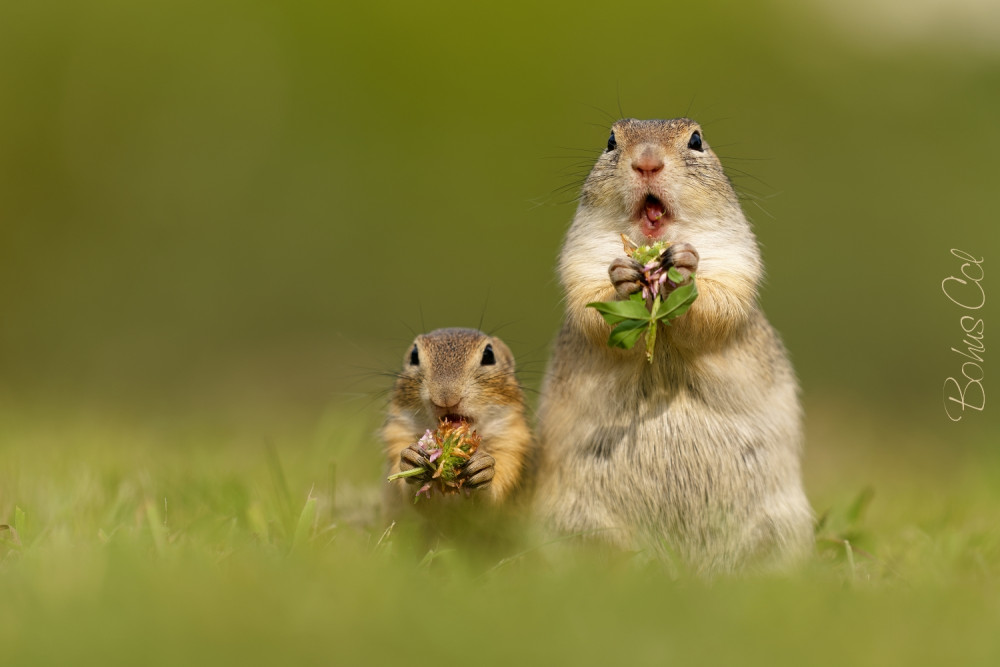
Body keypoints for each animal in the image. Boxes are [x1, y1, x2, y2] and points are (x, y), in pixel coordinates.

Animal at [540, 117, 812, 572]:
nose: (647, 161)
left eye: (696, 140)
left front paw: (685, 268)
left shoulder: (737, 260)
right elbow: (590, 304)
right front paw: (621, 278)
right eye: (611, 141)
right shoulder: (579, 260)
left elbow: (721, 304)